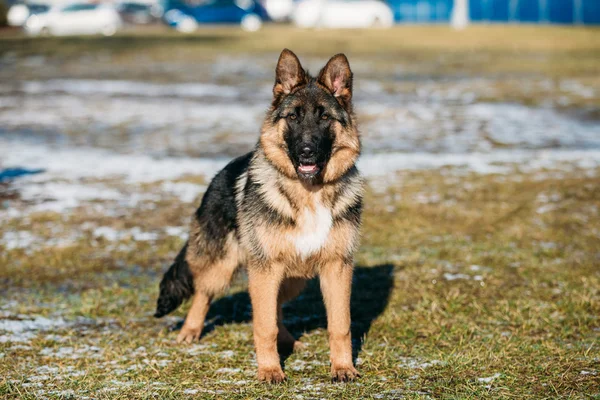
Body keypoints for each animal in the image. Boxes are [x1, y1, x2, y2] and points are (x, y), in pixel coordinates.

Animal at [155, 50, 360, 384]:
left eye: (324, 117)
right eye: (293, 117)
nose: (306, 151)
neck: (308, 193)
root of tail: (220, 173)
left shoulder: (336, 267)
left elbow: (339, 325)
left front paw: (342, 367)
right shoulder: (265, 269)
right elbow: (263, 326)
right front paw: (269, 371)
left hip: (292, 278)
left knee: (276, 308)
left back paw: (289, 341)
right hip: (225, 265)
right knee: (203, 292)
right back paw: (190, 331)